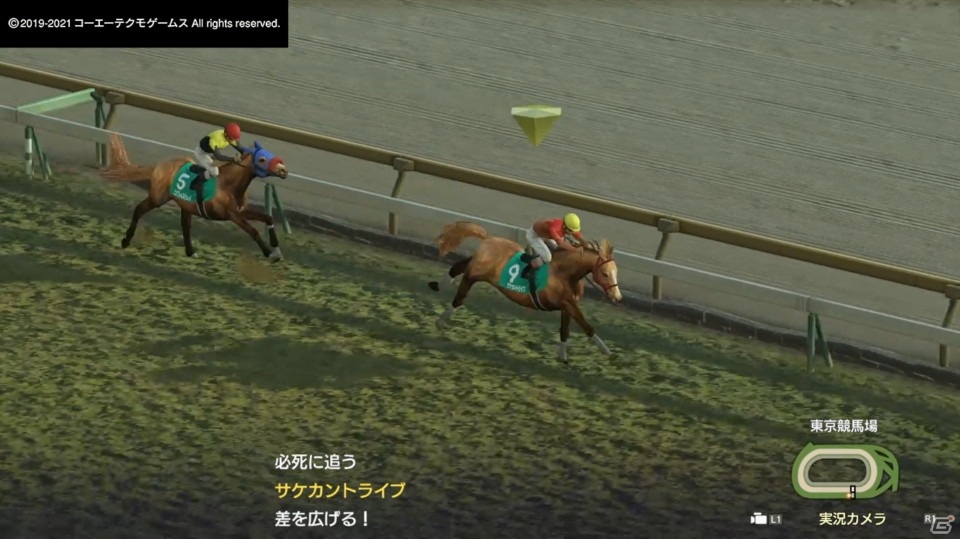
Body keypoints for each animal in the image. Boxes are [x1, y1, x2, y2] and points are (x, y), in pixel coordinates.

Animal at [100, 133, 288, 261]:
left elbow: (268, 217)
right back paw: (126, 240)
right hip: (157, 198)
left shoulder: (240, 211)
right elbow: (253, 231)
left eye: (271, 154)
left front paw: (276, 249)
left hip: (186, 204)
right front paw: (269, 253)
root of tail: (158, 166)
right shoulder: (232, 215)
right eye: (262, 159)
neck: (230, 184)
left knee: (185, 225)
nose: (283, 170)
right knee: (139, 210)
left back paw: (190, 251)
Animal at [427, 221, 622, 362]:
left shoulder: (567, 304)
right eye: (605, 273)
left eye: (616, 271)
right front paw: (609, 352)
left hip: (475, 267)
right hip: (475, 274)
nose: (617, 297)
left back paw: (439, 285)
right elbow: (586, 326)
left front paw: (562, 356)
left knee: (458, 266)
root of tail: (488, 238)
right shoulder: (567, 303)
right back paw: (441, 320)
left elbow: (564, 330)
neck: (565, 273)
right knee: (460, 296)